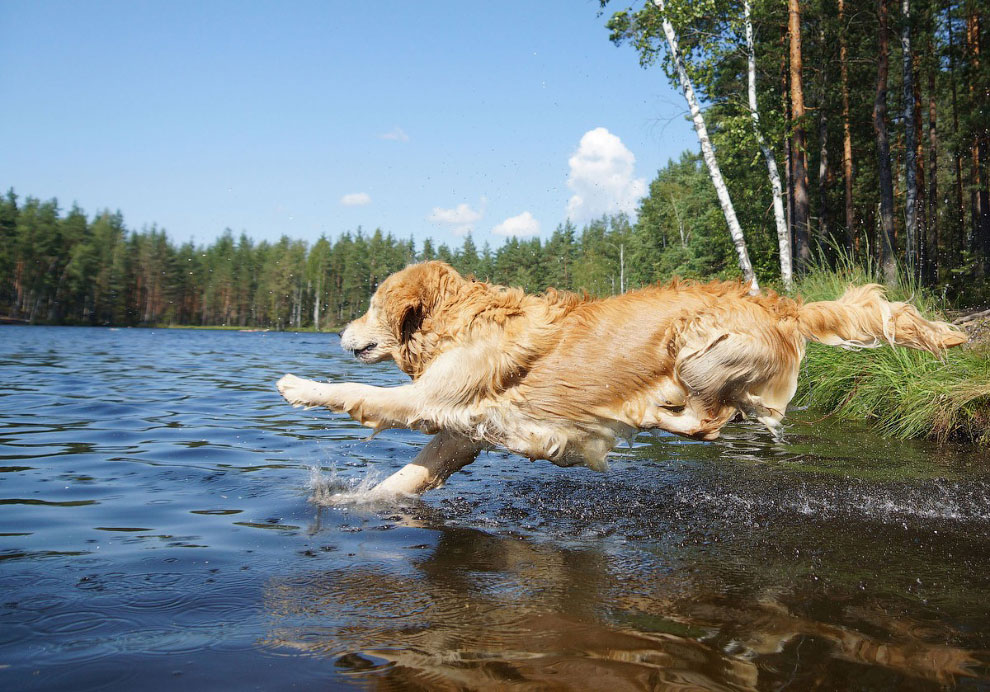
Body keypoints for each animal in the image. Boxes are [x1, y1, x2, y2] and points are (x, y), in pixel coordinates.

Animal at [280, 262, 968, 494]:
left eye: (370, 304)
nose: (340, 333)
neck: (461, 322)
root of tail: (783, 305)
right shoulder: (463, 432)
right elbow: (408, 478)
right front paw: (352, 504)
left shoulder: (431, 400)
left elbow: (358, 394)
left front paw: (298, 386)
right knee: (733, 415)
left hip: (695, 349)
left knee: (710, 420)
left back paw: (651, 414)